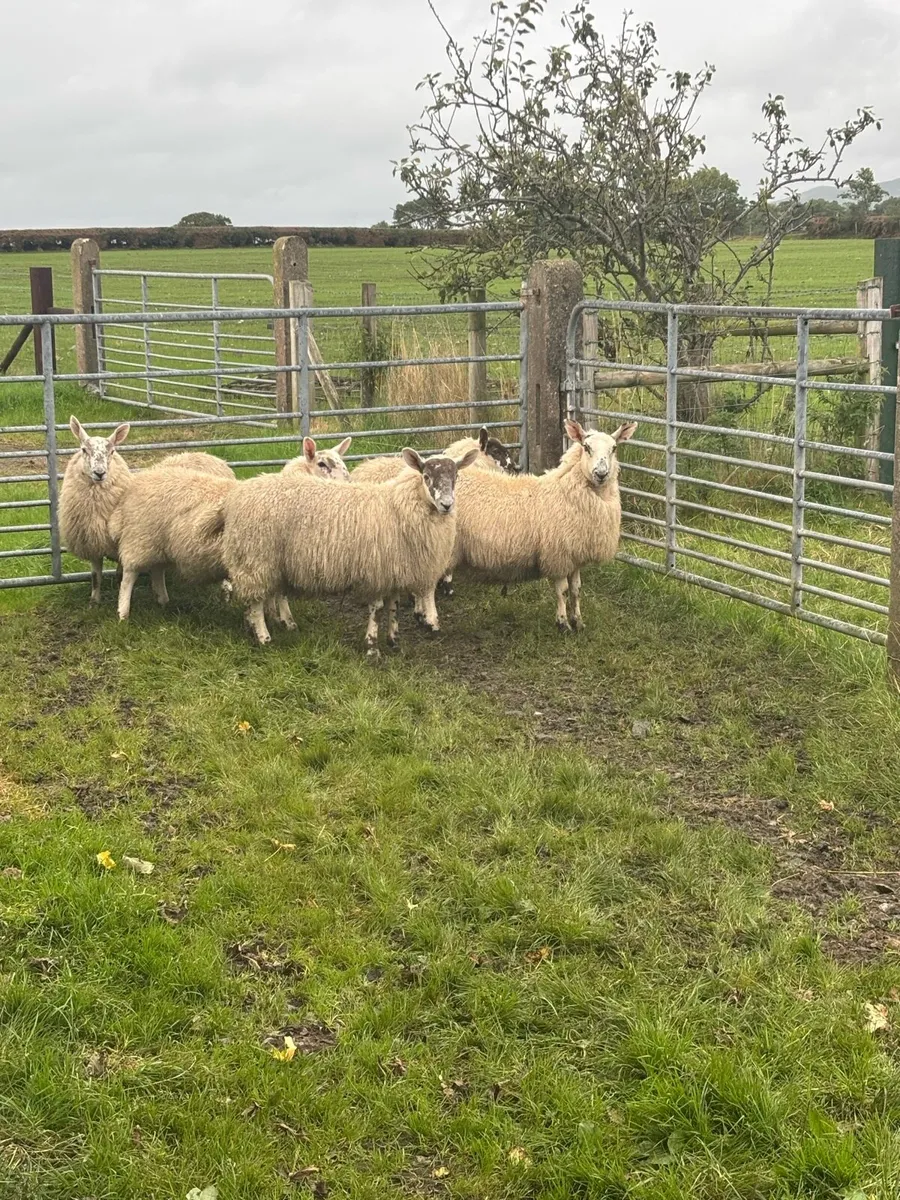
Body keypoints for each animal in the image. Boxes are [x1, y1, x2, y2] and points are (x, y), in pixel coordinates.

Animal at [59, 417, 132, 604]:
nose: (99, 473)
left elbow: (120, 576)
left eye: (112, 451)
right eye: (84, 450)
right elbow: (95, 577)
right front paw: (94, 602)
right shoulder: (92, 542)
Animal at [222, 445, 480, 655]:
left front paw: (394, 641)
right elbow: (377, 610)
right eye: (426, 476)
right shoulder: (377, 571)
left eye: (456, 476)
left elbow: (393, 608)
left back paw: (275, 624)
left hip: (272, 562)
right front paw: (372, 648)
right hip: (255, 558)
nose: (446, 505)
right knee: (256, 601)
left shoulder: (394, 570)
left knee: (269, 595)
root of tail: (239, 495)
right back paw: (263, 637)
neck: (397, 506)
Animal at [449, 419, 638, 632]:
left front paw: (578, 621)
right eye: (586, 447)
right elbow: (563, 591)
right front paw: (563, 624)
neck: (566, 491)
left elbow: (576, 590)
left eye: (614, 448)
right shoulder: (558, 555)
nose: (601, 474)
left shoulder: (575, 555)